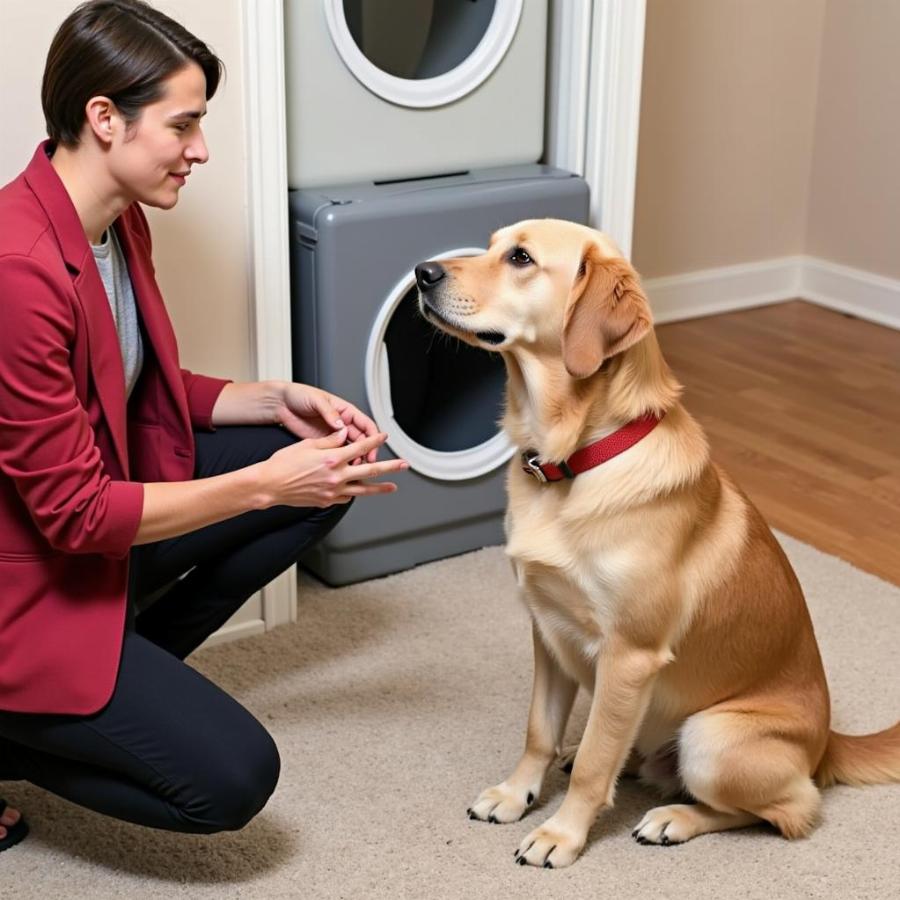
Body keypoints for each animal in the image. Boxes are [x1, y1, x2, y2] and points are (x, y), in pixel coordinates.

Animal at [414, 216, 900, 864]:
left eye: (520, 258)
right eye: (492, 245)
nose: (422, 273)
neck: (577, 460)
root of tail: (827, 742)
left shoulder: (630, 655)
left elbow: (596, 765)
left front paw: (560, 834)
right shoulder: (547, 629)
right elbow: (540, 731)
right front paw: (517, 795)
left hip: (711, 737)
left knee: (789, 810)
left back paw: (675, 819)